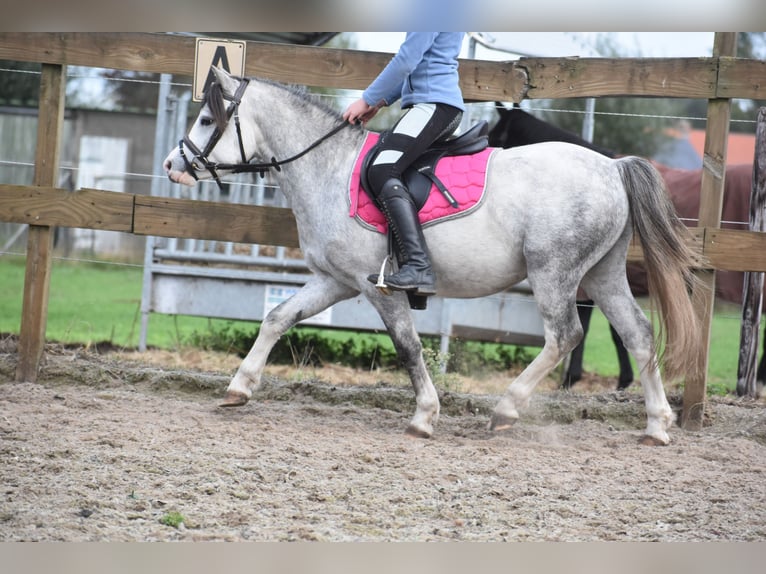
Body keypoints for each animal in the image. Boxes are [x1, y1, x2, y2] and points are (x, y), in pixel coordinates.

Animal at [163, 67, 703, 445]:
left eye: (208, 118)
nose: (172, 164)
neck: (329, 168)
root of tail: (612, 167)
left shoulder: (377, 286)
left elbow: (407, 347)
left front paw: (424, 416)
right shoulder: (334, 280)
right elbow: (277, 318)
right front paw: (239, 387)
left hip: (555, 273)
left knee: (565, 335)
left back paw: (506, 410)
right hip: (604, 274)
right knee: (638, 334)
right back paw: (657, 426)